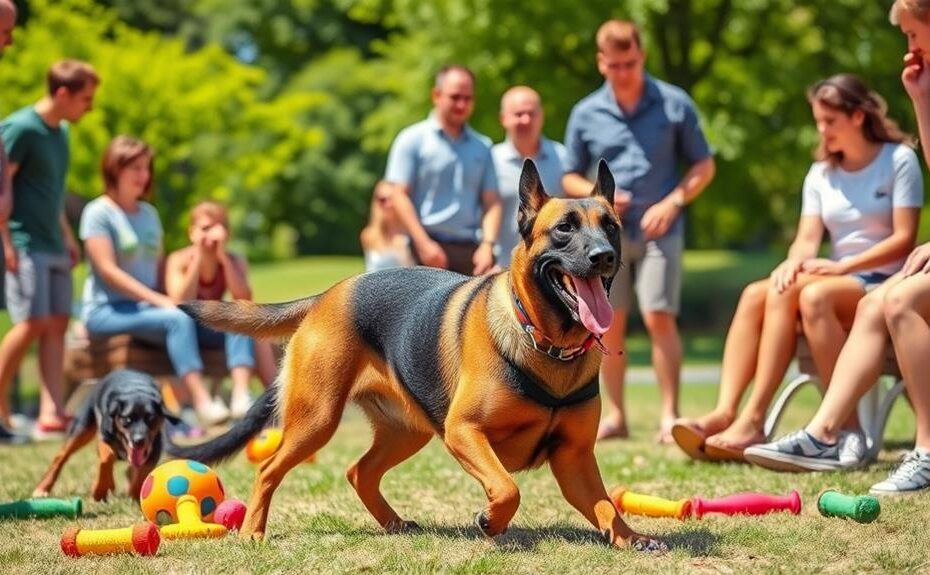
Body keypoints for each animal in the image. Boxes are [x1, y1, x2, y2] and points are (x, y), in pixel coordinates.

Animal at [34, 368, 178, 500]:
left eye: (151, 418)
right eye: (128, 419)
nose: (139, 441)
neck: (135, 389)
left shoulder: (154, 446)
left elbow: (144, 469)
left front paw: (136, 492)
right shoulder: (104, 435)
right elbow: (107, 458)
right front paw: (101, 489)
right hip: (82, 427)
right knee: (61, 456)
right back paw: (42, 488)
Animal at [165, 160, 660, 552]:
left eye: (611, 226)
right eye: (564, 229)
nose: (604, 256)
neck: (549, 344)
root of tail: (328, 295)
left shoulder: (575, 459)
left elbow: (604, 503)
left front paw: (629, 536)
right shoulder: (464, 431)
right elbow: (507, 487)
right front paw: (491, 520)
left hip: (405, 432)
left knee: (359, 472)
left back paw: (393, 523)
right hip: (317, 419)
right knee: (269, 468)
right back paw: (253, 531)